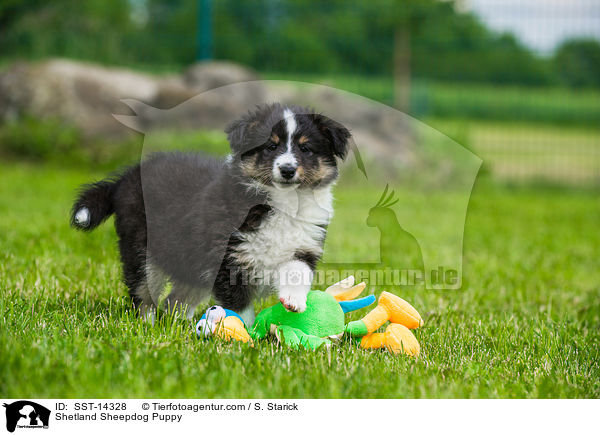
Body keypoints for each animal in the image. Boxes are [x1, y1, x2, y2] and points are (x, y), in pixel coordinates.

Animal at [71, 103, 352, 324]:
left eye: (305, 149)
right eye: (270, 147)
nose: (287, 170)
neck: (282, 202)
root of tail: (125, 177)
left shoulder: (303, 246)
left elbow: (297, 271)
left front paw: (294, 301)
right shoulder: (228, 259)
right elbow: (240, 308)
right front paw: (245, 337)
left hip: (192, 264)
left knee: (174, 300)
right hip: (142, 249)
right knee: (143, 295)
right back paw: (148, 325)